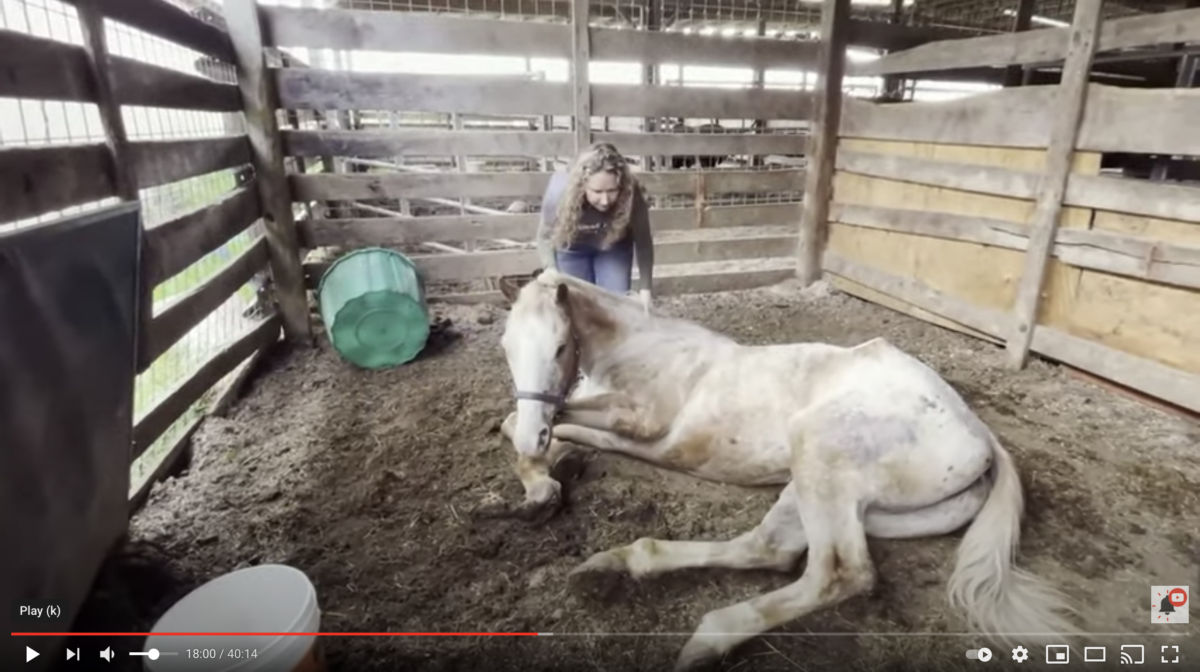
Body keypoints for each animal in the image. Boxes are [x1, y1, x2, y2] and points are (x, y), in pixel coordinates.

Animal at [494, 268, 1081, 671]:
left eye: (561, 346)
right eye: (505, 346)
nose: (535, 441)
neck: (639, 348)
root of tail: (980, 437)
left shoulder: (642, 422)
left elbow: (549, 422)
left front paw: (547, 479)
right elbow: (520, 421)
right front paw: (550, 474)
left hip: (821, 457)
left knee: (839, 572)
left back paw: (704, 640)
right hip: (819, 491)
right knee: (769, 550)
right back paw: (615, 566)